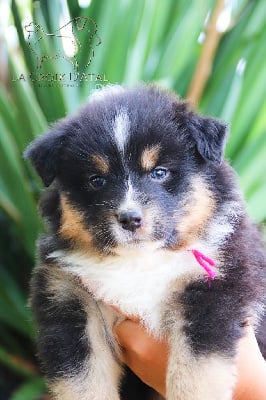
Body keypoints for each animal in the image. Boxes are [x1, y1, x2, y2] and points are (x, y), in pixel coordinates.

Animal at [23, 85, 264, 400]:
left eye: (159, 172)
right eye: (96, 180)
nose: (130, 218)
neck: (139, 262)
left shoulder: (216, 285)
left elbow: (196, 371)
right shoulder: (67, 298)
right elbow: (83, 380)